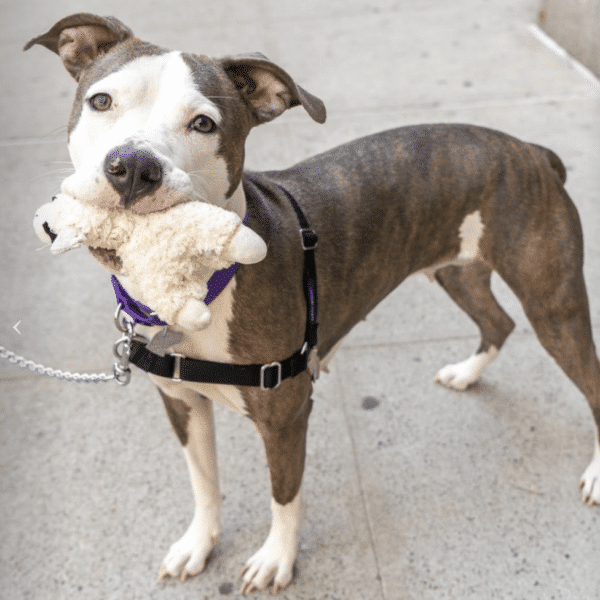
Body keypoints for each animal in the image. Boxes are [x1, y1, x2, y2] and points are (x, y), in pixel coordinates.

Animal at [25, 14, 596, 596]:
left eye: (203, 124)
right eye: (101, 101)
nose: (135, 166)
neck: (196, 289)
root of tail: (532, 151)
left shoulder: (286, 414)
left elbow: (285, 494)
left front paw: (276, 559)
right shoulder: (182, 401)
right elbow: (204, 482)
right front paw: (198, 544)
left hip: (555, 304)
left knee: (586, 376)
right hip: (457, 270)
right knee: (497, 321)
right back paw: (467, 372)